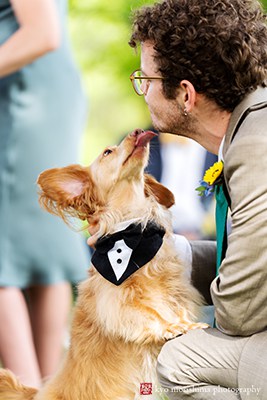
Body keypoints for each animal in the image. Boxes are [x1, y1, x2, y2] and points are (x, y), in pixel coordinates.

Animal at [0, 129, 207, 400]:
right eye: (107, 152)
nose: (138, 131)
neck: (133, 233)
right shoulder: (116, 298)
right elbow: (149, 313)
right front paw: (173, 326)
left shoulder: (176, 290)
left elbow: (177, 307)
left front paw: (184, 322)